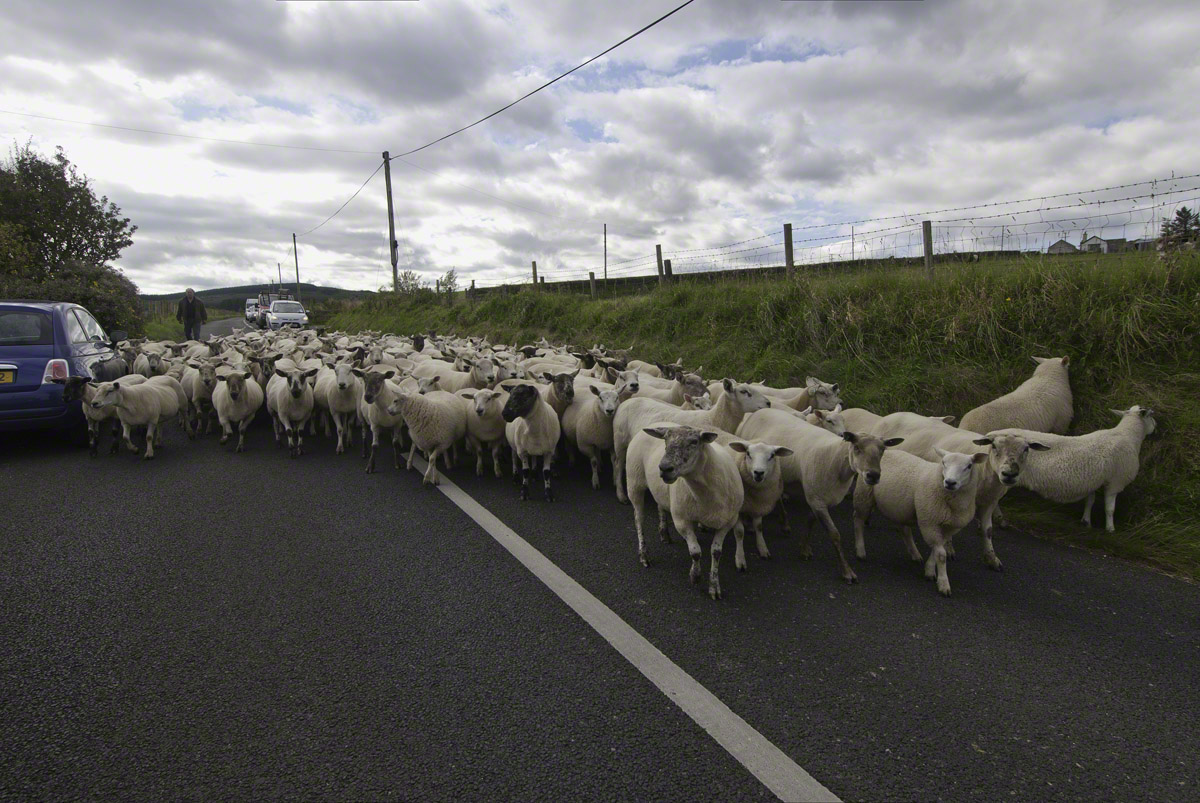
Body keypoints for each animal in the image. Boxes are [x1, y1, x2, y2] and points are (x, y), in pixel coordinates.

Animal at [614, 376, 772, 501]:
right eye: (744, 392)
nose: (769, 403)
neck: (713, 418)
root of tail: (628, 401)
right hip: (619, 442)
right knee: (618, 464)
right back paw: (621, 494)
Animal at [624, 422, 744, 597]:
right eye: (665, 440)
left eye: (694, 442)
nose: (664, 468)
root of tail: (654, 424)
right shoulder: (681, 520)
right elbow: (695, 552)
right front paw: (695, 576)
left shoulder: (728, 522)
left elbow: (716, 552)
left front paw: (714, 586)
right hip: (634, 482)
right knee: (639, 519)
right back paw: (644, 555)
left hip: (660, 490)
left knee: (660, 505)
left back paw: (664, 534)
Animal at [739, 408, 902, 583]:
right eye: (857, 447)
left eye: (883, 450)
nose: (873, 476)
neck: (835, 460)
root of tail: (763, 409)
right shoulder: (817, 500)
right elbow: (835, 535)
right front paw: (847, 571)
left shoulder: (817, 497)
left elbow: (810, 521)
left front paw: (804, 549)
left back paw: (784, 523)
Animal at [859, 444, 988, 595]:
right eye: (943, 462)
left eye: (969, 466)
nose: (950, 482)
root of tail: (888, 450)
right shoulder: (929, 522)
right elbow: (941, 555)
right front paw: (943, 583)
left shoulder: (949, 528)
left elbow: (937, 549)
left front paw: (929, 570)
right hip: (864, 494)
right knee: (857, 520)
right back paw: (860, 550)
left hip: (900, 508)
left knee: (904, 530)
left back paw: (915, 554)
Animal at [984, 408, 1161, 532]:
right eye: (1151, 415)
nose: (1156, 428)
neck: (1128, 435)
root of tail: (988, 435)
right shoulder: (1115, 482)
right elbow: (1110, 509)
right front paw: (1110, 529)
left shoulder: (1093, 481)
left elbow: (1090, 501)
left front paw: (1086, 521)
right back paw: (999, 519)